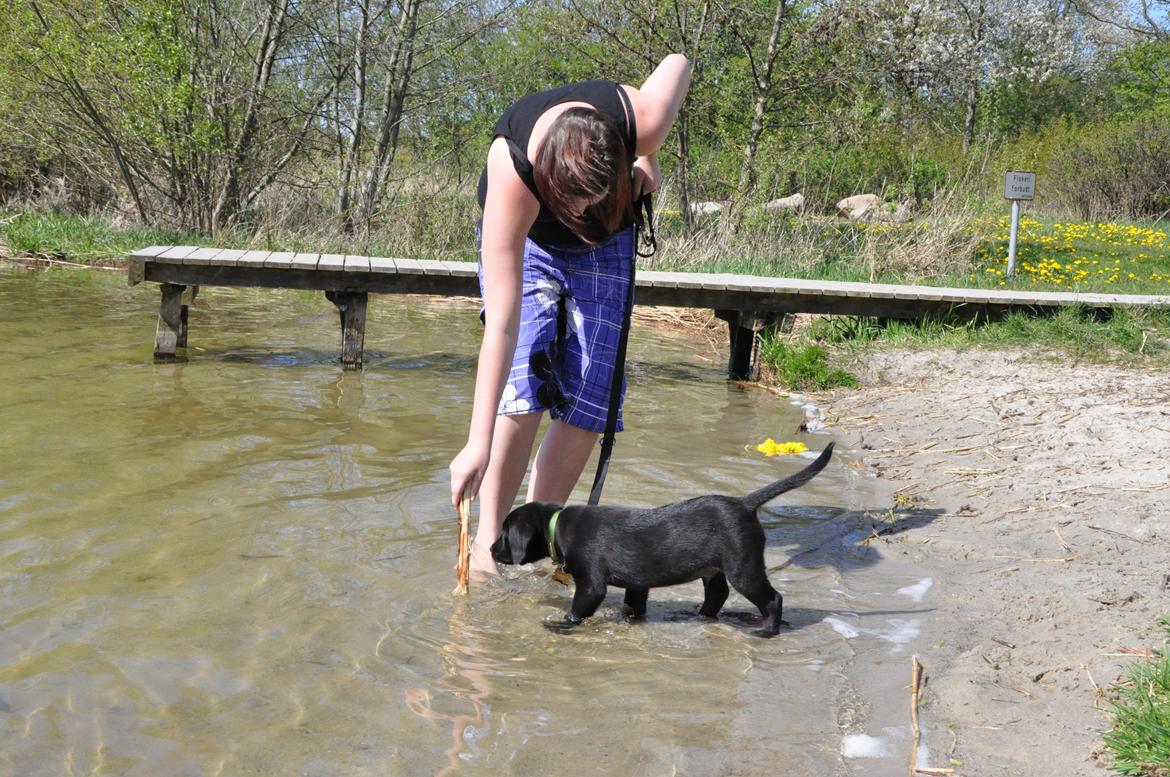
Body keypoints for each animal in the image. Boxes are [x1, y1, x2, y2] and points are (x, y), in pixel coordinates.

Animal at [491, 439, 833, 636]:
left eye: (505, 534)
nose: (493, 550)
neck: (557, 526)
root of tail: (745, 503)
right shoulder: (637, 583)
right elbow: (634, 604)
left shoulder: (591, 583)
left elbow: (580, 609)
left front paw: (561, 624)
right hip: (715, 570)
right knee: (717, 595)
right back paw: (698, 617)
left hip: (743, 568)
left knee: (772, 599)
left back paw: (766, 632)